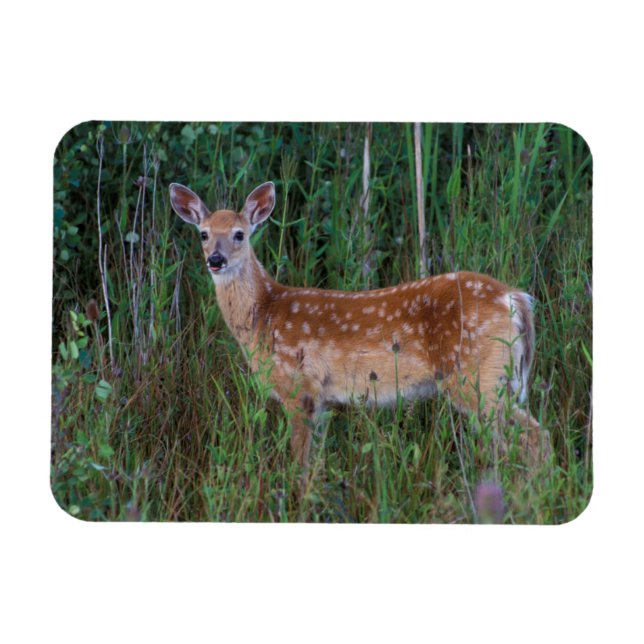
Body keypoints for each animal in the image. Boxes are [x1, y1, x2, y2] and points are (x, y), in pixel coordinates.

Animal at [169, 181, 551, 472]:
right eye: (203, 234)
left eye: (239, 234)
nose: (215, 260)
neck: (264, 314)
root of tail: (514, 298)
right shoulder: (322, 400)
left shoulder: (298, 388)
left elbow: (300, 465)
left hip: (477, 378)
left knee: (534, 438)